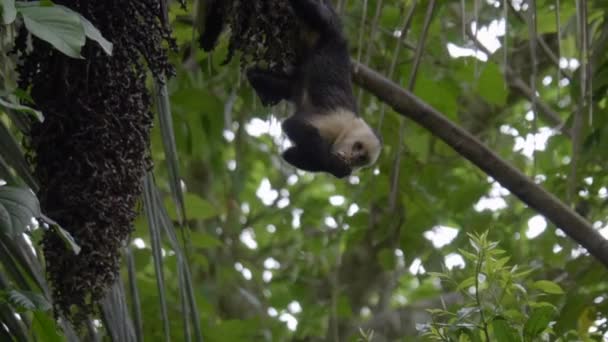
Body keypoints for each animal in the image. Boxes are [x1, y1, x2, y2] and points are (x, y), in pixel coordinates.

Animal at [201, 0, 380, 178]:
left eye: (361, 159)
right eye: (358, 147)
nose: (352, 158)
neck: (348, 127)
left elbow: (290, 155)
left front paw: (338, 168)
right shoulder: (336, 122)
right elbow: (293, 125)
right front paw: (336, 166)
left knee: (264, 78)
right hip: (328, 25)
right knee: (313, 12)